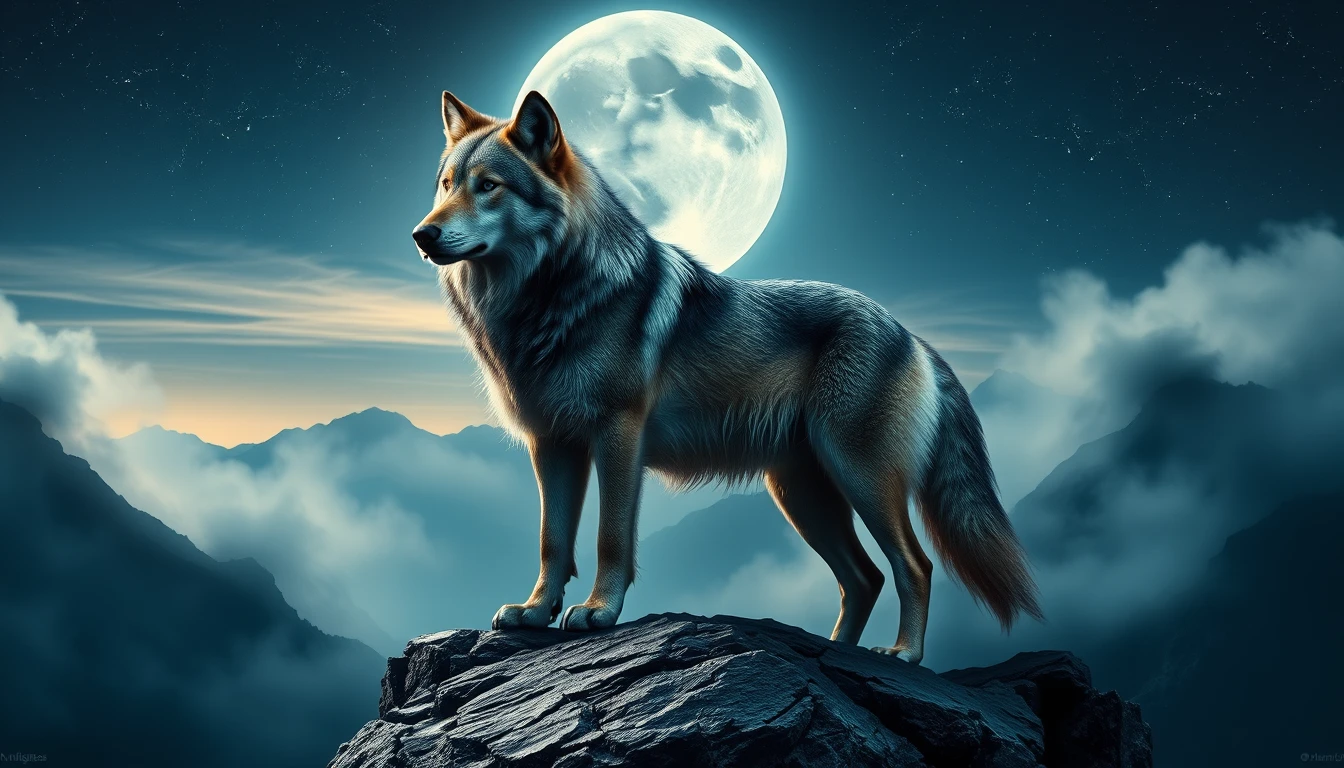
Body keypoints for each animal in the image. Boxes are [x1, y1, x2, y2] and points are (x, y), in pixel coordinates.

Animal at [413, 90, 1042, 663]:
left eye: (489, 186)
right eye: (446, 184)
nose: (422, 235)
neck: (544, 300)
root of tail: (912, 335)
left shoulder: (618, 437)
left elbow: (609, 538)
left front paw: (598, 612)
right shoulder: (550, 443)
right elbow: (551, 540)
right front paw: (535, 611)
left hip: (859, 476)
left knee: (914, 565)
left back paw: (903, 654)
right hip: (801, 495)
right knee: (864, 578)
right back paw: (835, 651)